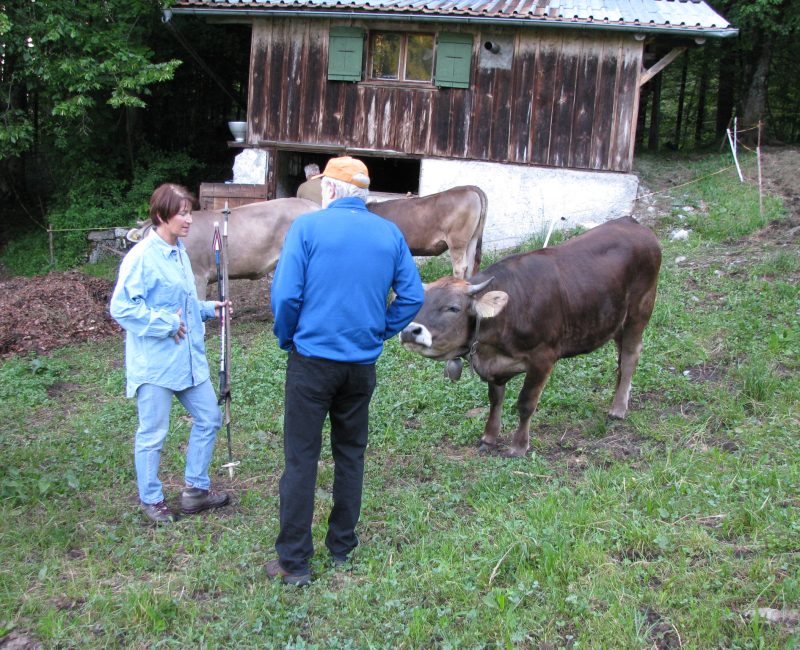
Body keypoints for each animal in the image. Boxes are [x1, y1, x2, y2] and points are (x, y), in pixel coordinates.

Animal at [399, 216, 662, 457]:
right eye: (420, 303)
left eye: (453, 308)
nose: (410, 331)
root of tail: (630, 222)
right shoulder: (495, 366)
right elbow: (495, 400)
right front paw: (489, 437)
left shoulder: (542, 358)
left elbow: (525, 403)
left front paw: (518, 446)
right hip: (615, 320)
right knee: (620, 359)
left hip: (639, 312)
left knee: (629, 358)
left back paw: (618, 409)